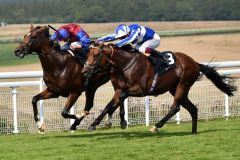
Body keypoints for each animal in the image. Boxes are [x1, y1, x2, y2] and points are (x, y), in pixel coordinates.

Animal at [81, 42, 235, 134]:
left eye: (96, 55)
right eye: (88, 54)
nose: (84, 71)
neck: (126, 64)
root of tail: (195, 63)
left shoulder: (140, 90)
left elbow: (118, 99)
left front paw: (104, 123)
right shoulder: (119, 89)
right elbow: (110, 105)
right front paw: (98, 124)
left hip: (183, 85)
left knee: (175, 107)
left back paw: (156, 126)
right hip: (175, 88)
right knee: (192, 109)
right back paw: (193, 132)